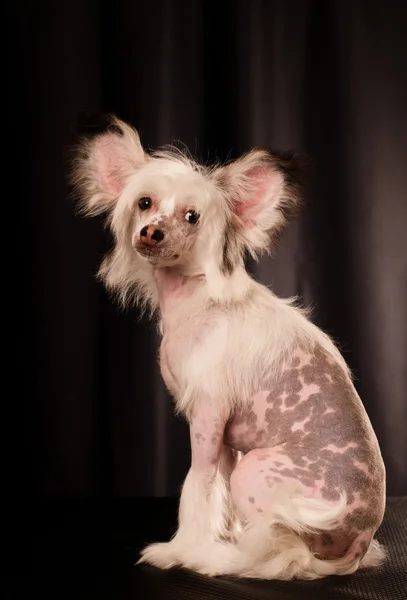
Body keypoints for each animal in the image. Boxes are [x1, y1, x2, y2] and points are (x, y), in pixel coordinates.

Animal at [71, 115, 388, 580]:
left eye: (192, 216)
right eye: (145, 203)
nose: (152, 232)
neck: (196, 298)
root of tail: (360, 544)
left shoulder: (206, 417)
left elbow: (198, 487)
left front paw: (182, 550)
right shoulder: (225, 438)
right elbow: (216, 492)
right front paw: (215, 541)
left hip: (259, 473)